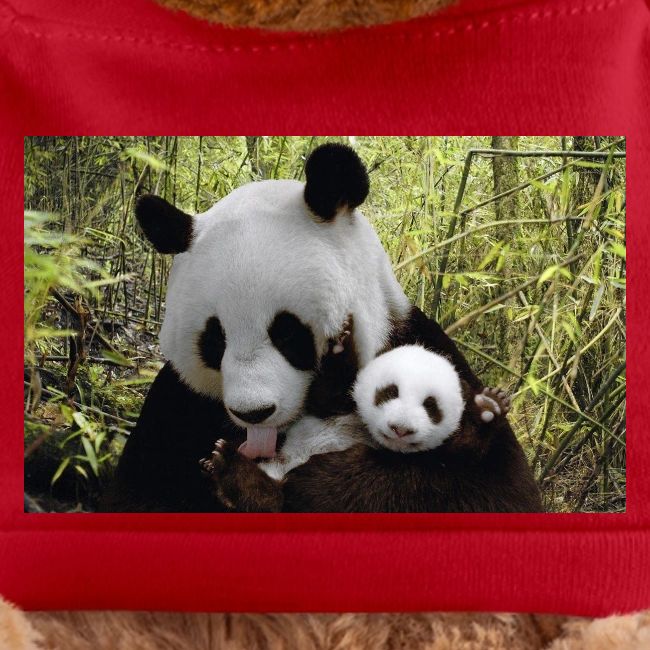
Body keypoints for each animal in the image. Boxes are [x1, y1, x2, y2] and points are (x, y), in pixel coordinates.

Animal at [100, 143, 538, 513]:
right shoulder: (179, 405)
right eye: (215, 339)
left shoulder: (420, 347)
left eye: (287, 333)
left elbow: (489, 488)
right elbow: (140, 493)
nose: (254, 413)